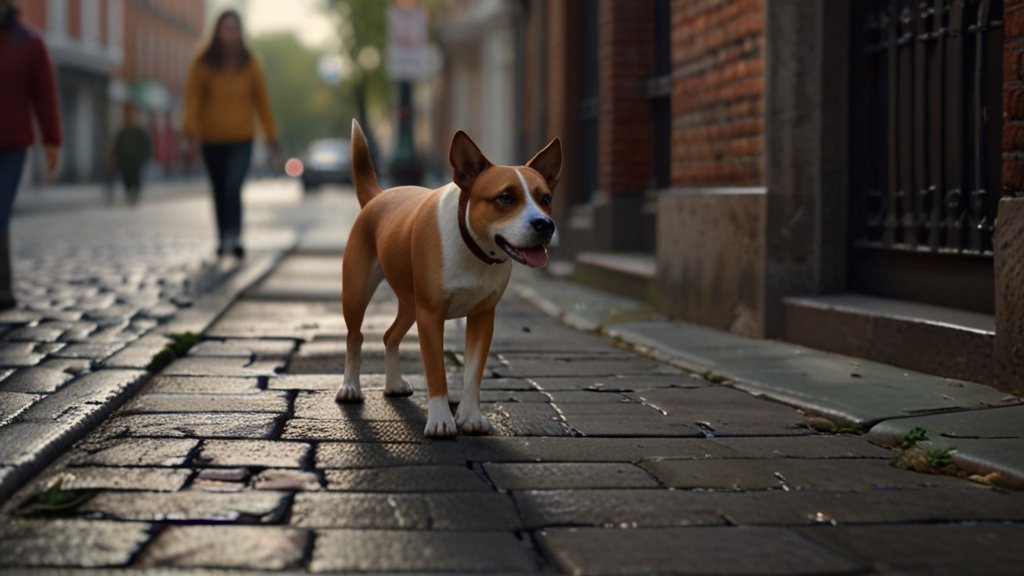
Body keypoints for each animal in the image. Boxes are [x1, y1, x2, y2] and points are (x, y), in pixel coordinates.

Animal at [337, 120, 565, 434]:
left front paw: (469, 416)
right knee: (354, 337)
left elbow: (473, 373)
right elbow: (437, 372)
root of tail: (377, 196)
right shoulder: (431, 316)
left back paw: (393, 383)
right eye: (505, 198)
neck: (471, 245)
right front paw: (441, 420)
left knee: (389, 335)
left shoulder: (482, 317)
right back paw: (350, 387)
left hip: (410, 305)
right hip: (357, 292)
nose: (544, 224)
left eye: (546, 199)